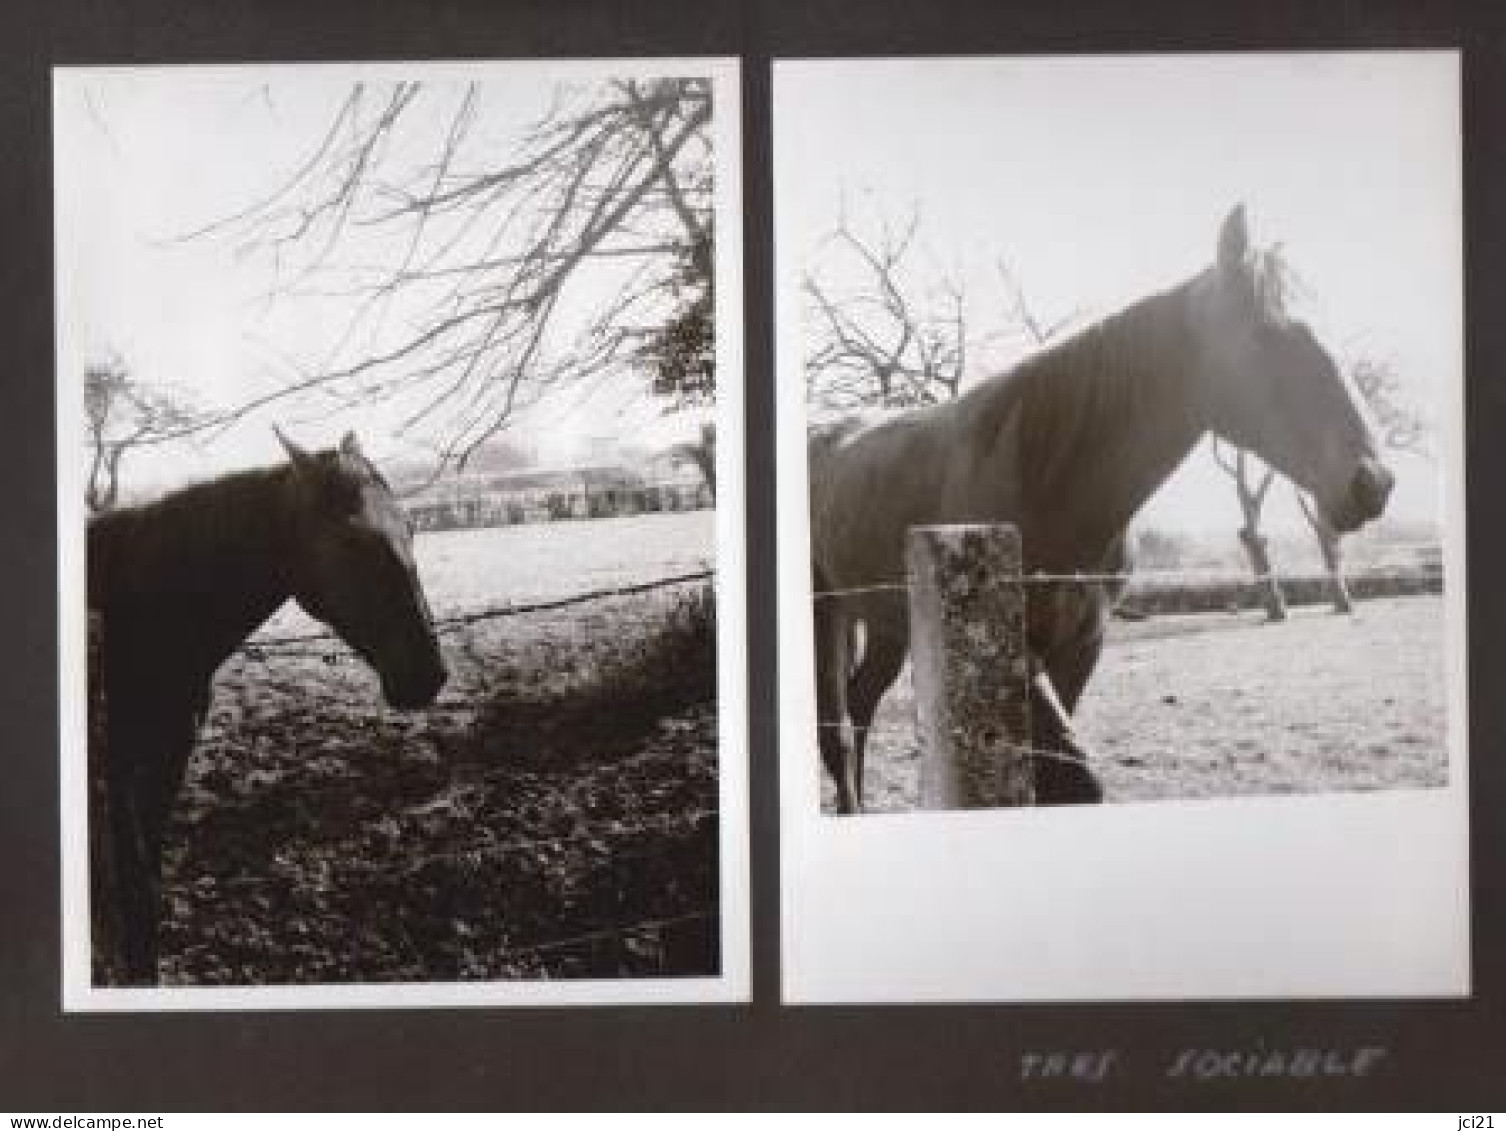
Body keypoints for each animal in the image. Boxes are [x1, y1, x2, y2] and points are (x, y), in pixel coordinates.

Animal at [86, 427, 445, 987]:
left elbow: (148, 881)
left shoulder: (167, 760)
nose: (429, 674)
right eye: (353, 539)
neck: (141, 613)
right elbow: (135, 882)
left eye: (411, 528)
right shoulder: (117, 768)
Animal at [813, 206, 1397, 813]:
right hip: (826, 611)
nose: (1373, 482)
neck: (1046, 479)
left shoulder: (1082, 646)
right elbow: (1073, 781)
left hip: (889, 622)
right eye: (1268, 334)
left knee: (860, 706)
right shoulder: (1016, 651)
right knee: (837, 728)